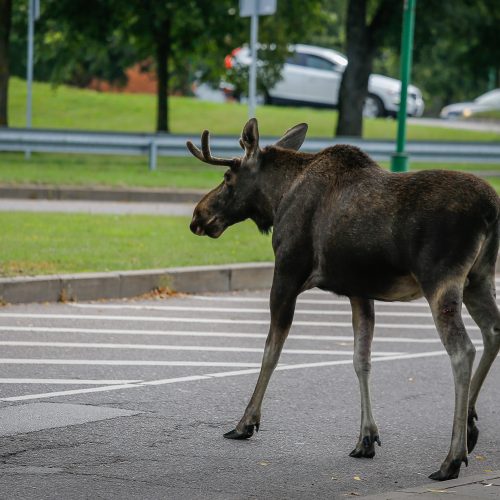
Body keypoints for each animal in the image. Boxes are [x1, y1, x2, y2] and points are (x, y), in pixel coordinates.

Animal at [188, 119, 500, 482]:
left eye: (227, 178)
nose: (197, 216)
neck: (279, 198)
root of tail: (491, 209)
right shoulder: (359, 291)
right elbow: (361, 359)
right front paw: (365, 438)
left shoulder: (287, 272)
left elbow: (271, 352)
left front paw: (245, 422)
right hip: (479, 278)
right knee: (493, 332)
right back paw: (471, 425)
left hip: (441, 279)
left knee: (463, 350)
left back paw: (451, 458)